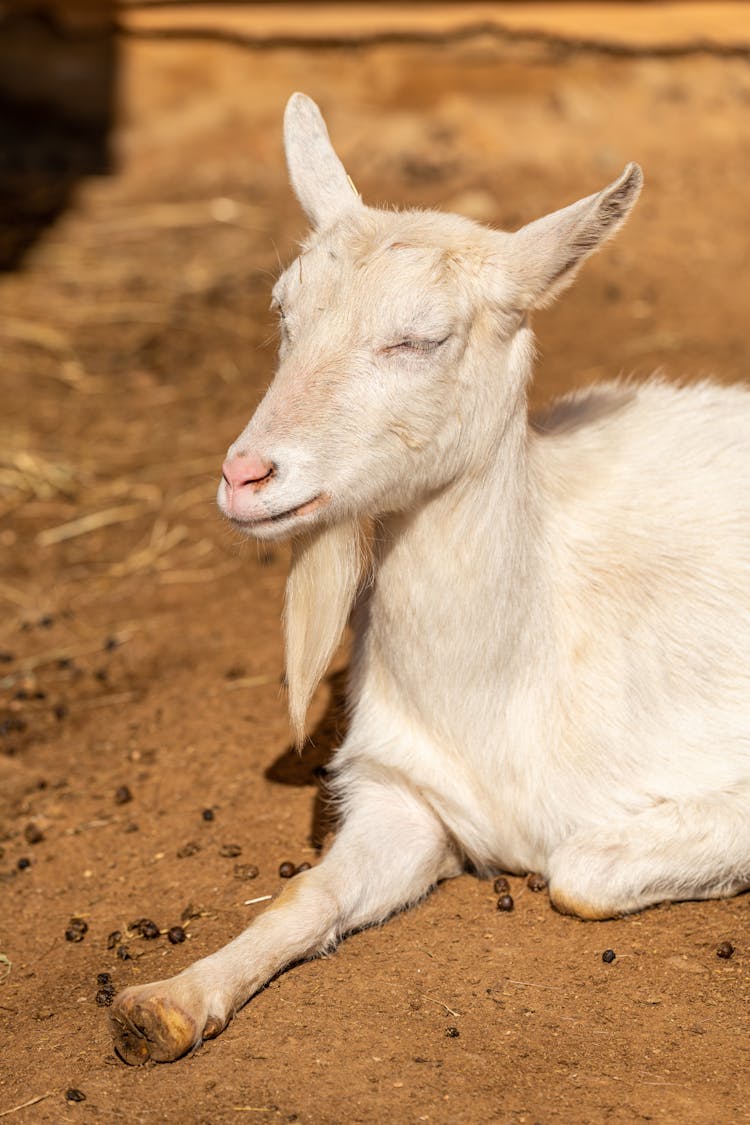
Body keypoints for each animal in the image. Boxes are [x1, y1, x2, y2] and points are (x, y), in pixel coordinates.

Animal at [110, 90, 750, 1062]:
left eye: (421, 338)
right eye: (284, 312)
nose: (246, 476)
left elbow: (581, 868)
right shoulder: (402, 795)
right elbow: (306, 892)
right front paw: (165, 1004)